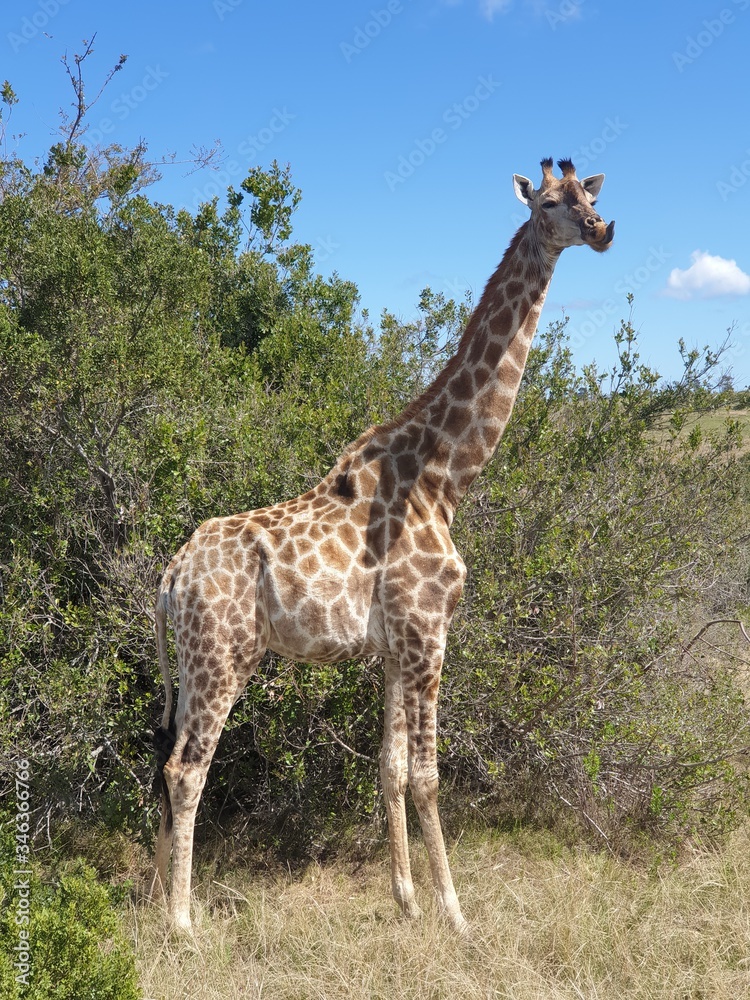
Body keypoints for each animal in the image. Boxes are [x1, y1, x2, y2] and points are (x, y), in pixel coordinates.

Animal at [148, 158, 614, 933]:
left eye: (589, 195)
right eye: (549, 203)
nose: (603, 230)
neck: (445, 476)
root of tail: (171, 575)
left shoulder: (394, 646)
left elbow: (388, 769)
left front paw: (407, 901)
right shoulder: (428, 632)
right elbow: (426, 775)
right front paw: (455, 912)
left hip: (190, 661)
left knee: (164, 759)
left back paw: (151, 903)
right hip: (225, 656)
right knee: (188, 770)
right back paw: (182, 924)